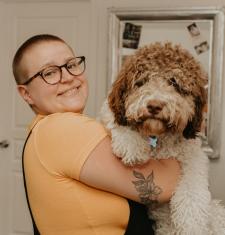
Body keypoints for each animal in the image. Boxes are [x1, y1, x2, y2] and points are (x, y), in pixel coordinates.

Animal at [100, 42, 225, 235]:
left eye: (174, 83)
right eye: (142, 81)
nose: (154, 105)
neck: (157, 138)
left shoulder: (193, 156)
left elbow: (193, 189)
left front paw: (191, 224)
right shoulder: (111, 113)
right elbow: (115, 119)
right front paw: (132, 145)